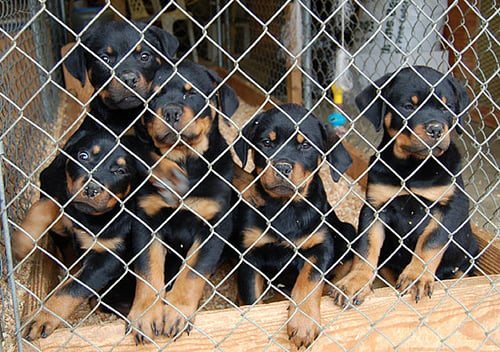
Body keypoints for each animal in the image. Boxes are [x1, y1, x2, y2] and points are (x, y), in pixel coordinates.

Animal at [13, 20, 186, 262]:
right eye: (105, 59)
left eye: (145, 56)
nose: (129, 79)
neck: (126, 118)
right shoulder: (58, 165)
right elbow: (50, 199)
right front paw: (23, 240)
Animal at [22, 131, 141, 340]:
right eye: (83, 156)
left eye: (120, 171)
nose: (92, 188)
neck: (88, 218)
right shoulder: (55, 187)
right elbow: (48, 204)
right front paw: (21, 242)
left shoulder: (107, 257)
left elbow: (72, 288)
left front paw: (42, 317)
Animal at [127, 60, 240, 344]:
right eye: (155, 96)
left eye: (192, 94)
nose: (170, 112)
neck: (185, 160)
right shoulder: (146, 220)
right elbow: (147, 270)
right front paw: (145, 314)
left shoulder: (214, 225)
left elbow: (192, 271)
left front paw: (176, 312)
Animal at [232, 103, 354, 348]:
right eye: (266, 142)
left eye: (305, 145)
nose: (282, 167)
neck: (285, 207)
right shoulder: (249, 252)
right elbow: (251, 297)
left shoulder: (320, 246)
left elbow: (309, 280)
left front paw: (304, 324)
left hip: (347, 231)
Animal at [330, 66, 478, 308]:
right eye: (409, 106)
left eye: (446, 107)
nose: (436, 129)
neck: (413, 167)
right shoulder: (375, 207)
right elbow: (366, 246)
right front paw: (355, 282)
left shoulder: (449, 206)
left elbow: (430, 242)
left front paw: (417, 276)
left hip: (467, 252)